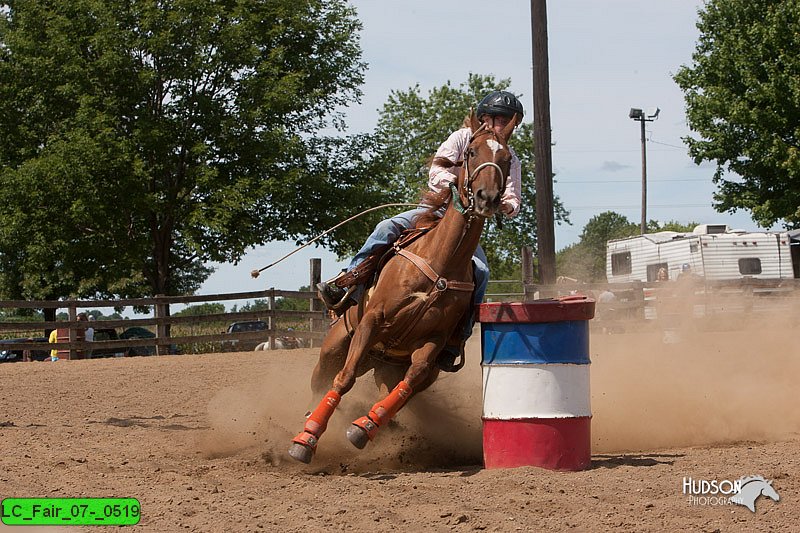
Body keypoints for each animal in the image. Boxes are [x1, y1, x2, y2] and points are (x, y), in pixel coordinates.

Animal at [288, 111, 520, 462]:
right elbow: (344, 379)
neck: (440, 262)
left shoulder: (433, 343)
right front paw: (306, 439)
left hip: (390, 366)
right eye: (470, 152)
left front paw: (363, 428)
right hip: (334, 347)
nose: (488, 198)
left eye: (506, 159)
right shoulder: (371, 322)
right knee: (324, 382)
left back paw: (370, 423)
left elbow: (409, 383)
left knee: (397, 389)